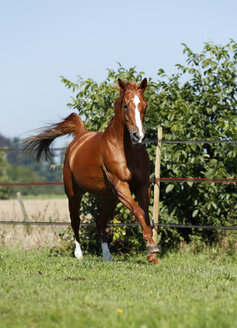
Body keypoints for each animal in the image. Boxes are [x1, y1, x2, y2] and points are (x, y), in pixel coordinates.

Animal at [24, 79, 160, 264]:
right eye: (125, 106)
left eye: (144, 105)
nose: (138, 136)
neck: (126, 151)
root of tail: (80, 136)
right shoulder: (121, 186)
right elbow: (138, 212)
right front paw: (152, 247)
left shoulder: (142, 186)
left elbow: (145, 215)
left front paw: (152, 253)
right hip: (74, 194)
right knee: (75, 220)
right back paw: (79, 254)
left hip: (110, 198)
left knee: (100, 222)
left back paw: (107, 256)